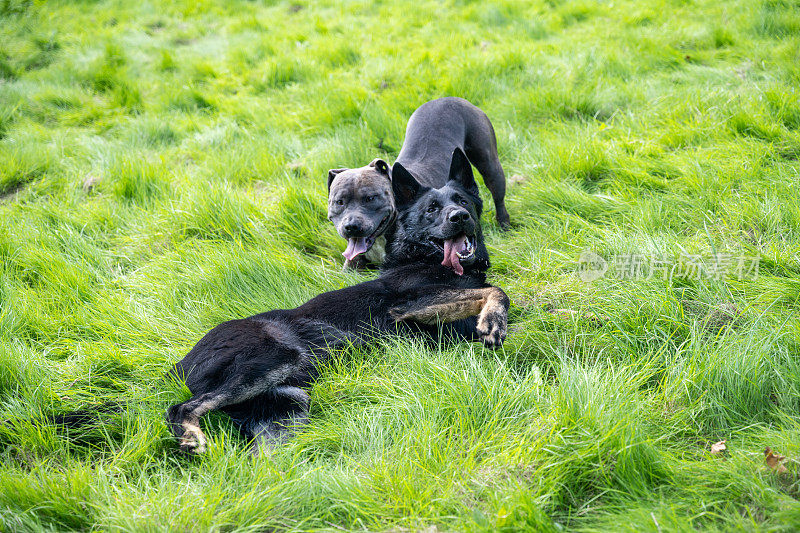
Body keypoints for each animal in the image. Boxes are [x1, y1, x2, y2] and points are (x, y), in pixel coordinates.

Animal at [166, 147, 510, 454]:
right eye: (431, 209)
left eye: (462, 201)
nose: (460, 217)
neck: (424, 258)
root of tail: (179, 364)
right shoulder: (408, 305)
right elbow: (496, 291)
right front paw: (493, 321)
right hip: (272, 358)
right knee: (180, 409)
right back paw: (191, 439)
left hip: (289, 404)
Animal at [326, 97, 510, 268]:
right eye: (339, 202)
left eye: (370, 198)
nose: (351, 226)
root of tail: (448, 98)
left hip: (490, 164)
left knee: (498, 196)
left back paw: (504, 225)